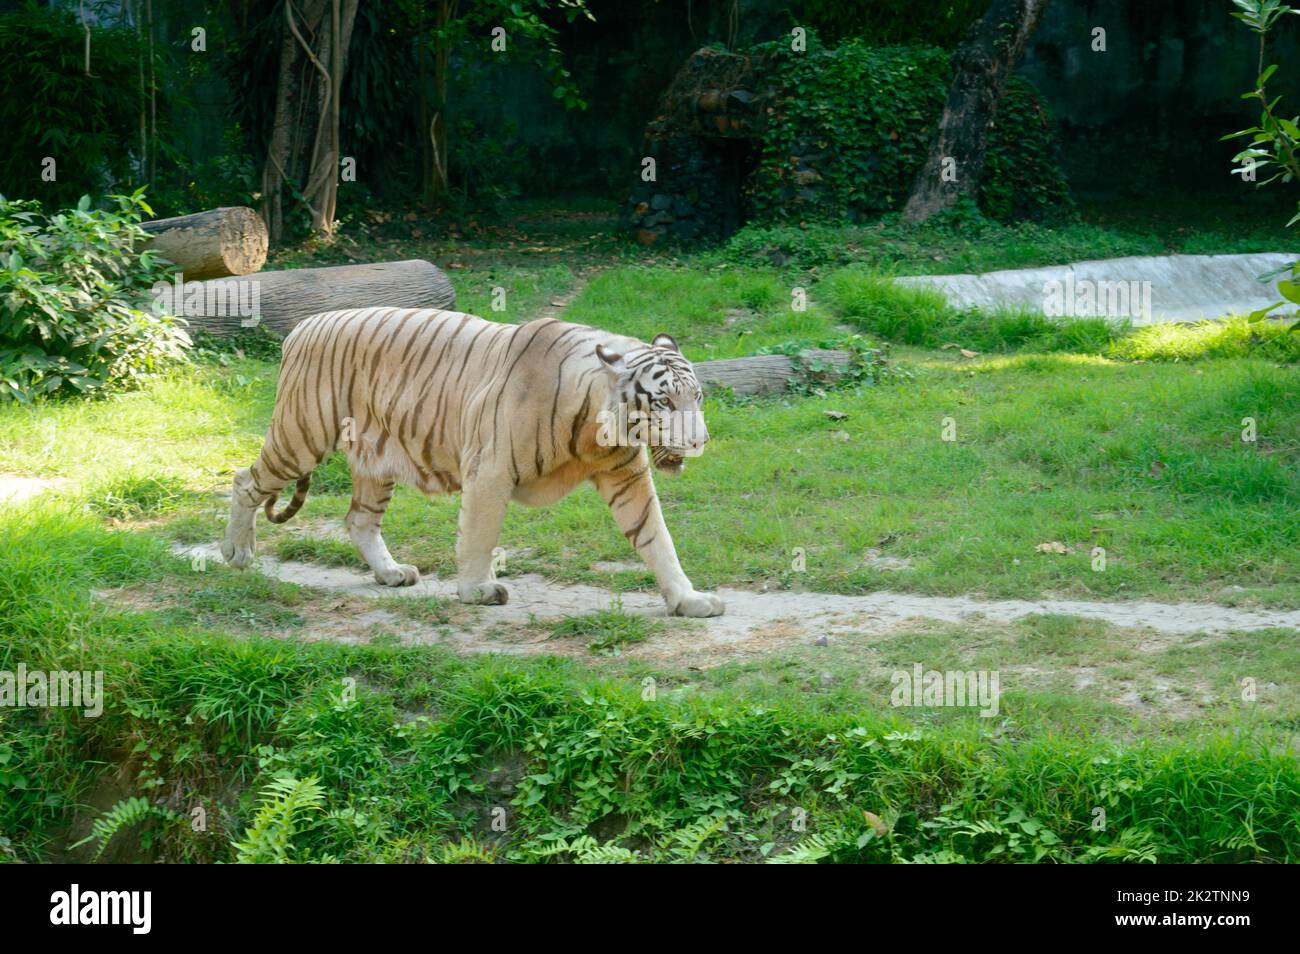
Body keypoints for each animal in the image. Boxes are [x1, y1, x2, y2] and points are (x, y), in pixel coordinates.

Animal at [219, 306, 725, 618]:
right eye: (664, 402)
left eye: (697, 398)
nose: (700, 441)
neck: (595, 432)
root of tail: (304, 325)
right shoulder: (491, 469)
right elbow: (480, 534)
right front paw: (477, 591)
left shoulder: (626, 475)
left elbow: (657, 538)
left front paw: (688, 600)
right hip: (301, 436)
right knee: (245, 481)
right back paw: (236, 553)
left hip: (375, 461)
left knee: (359, 520)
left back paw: (391, 573)